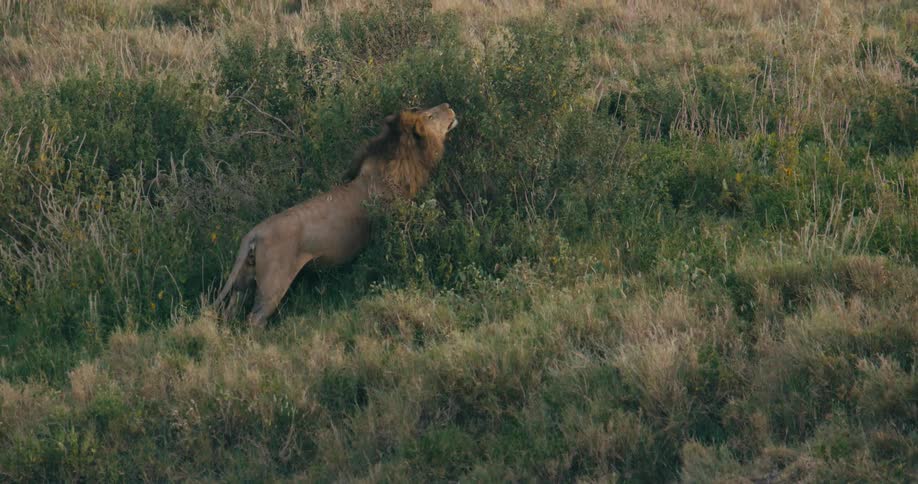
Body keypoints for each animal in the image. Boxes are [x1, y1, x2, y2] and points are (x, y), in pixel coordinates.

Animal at [215, 104, 458, 328]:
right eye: (429, 116)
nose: (448, 106)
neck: (400, 164)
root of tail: (254, 234)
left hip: (244, 283)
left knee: (230, 312)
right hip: (273, 283)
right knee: (254, 318)